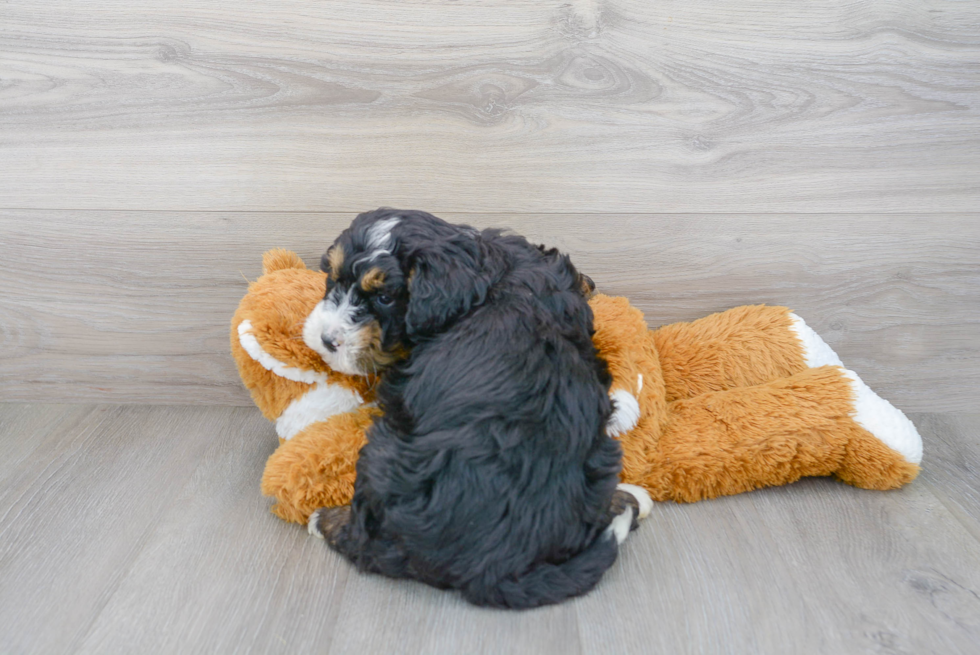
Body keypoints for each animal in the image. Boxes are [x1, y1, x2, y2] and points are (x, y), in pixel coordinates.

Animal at [302, 210, 648, 608]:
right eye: (332, 277)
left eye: (386, 297)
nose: (326, 341)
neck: (483, 283)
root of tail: (493, 568)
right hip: (600, 465)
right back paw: (627, 500)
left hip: (382, 455)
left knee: (368, 541)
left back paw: (326, 521)